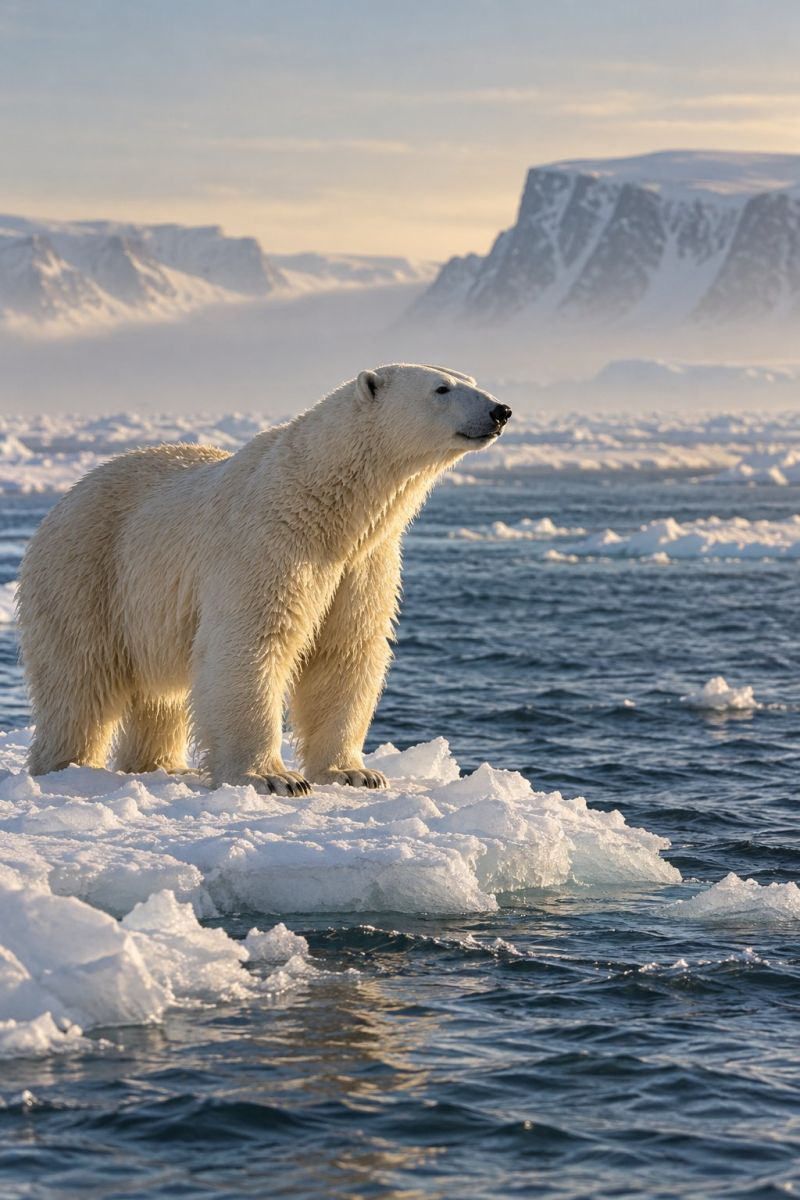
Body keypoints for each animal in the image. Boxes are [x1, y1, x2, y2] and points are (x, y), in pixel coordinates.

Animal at [18, 364, 511, 794]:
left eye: (471, 379)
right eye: (442, 388)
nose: (500, 410)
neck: (327, 504)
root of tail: (62, 501)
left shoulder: (364, 563)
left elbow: (345, 650)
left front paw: (355, 773)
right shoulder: (268, 543)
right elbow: (252, 641)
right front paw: (275, 778)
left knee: (161, 695)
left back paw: (162, 764)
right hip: (88, 570)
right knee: (80, 679)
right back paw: (67, 765)